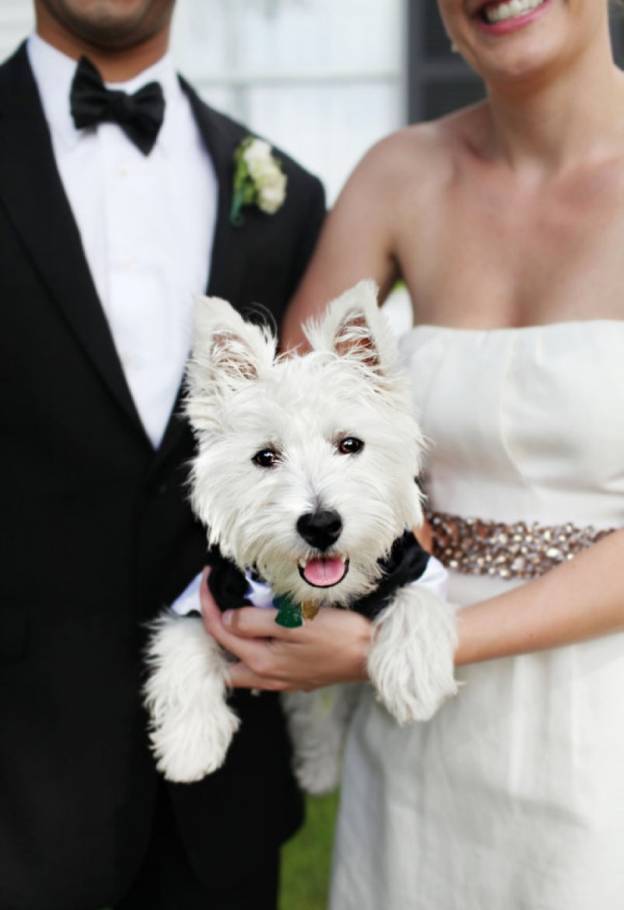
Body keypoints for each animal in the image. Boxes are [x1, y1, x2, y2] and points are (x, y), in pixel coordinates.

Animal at [145, 284, 458, 792]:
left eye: (350, 444)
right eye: (265, 456)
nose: (321, 524)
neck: (314, 600)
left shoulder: (416, 562)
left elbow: (418, 601)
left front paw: (415, 680)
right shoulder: (205, 592)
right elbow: (183, 644)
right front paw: (188, 746)